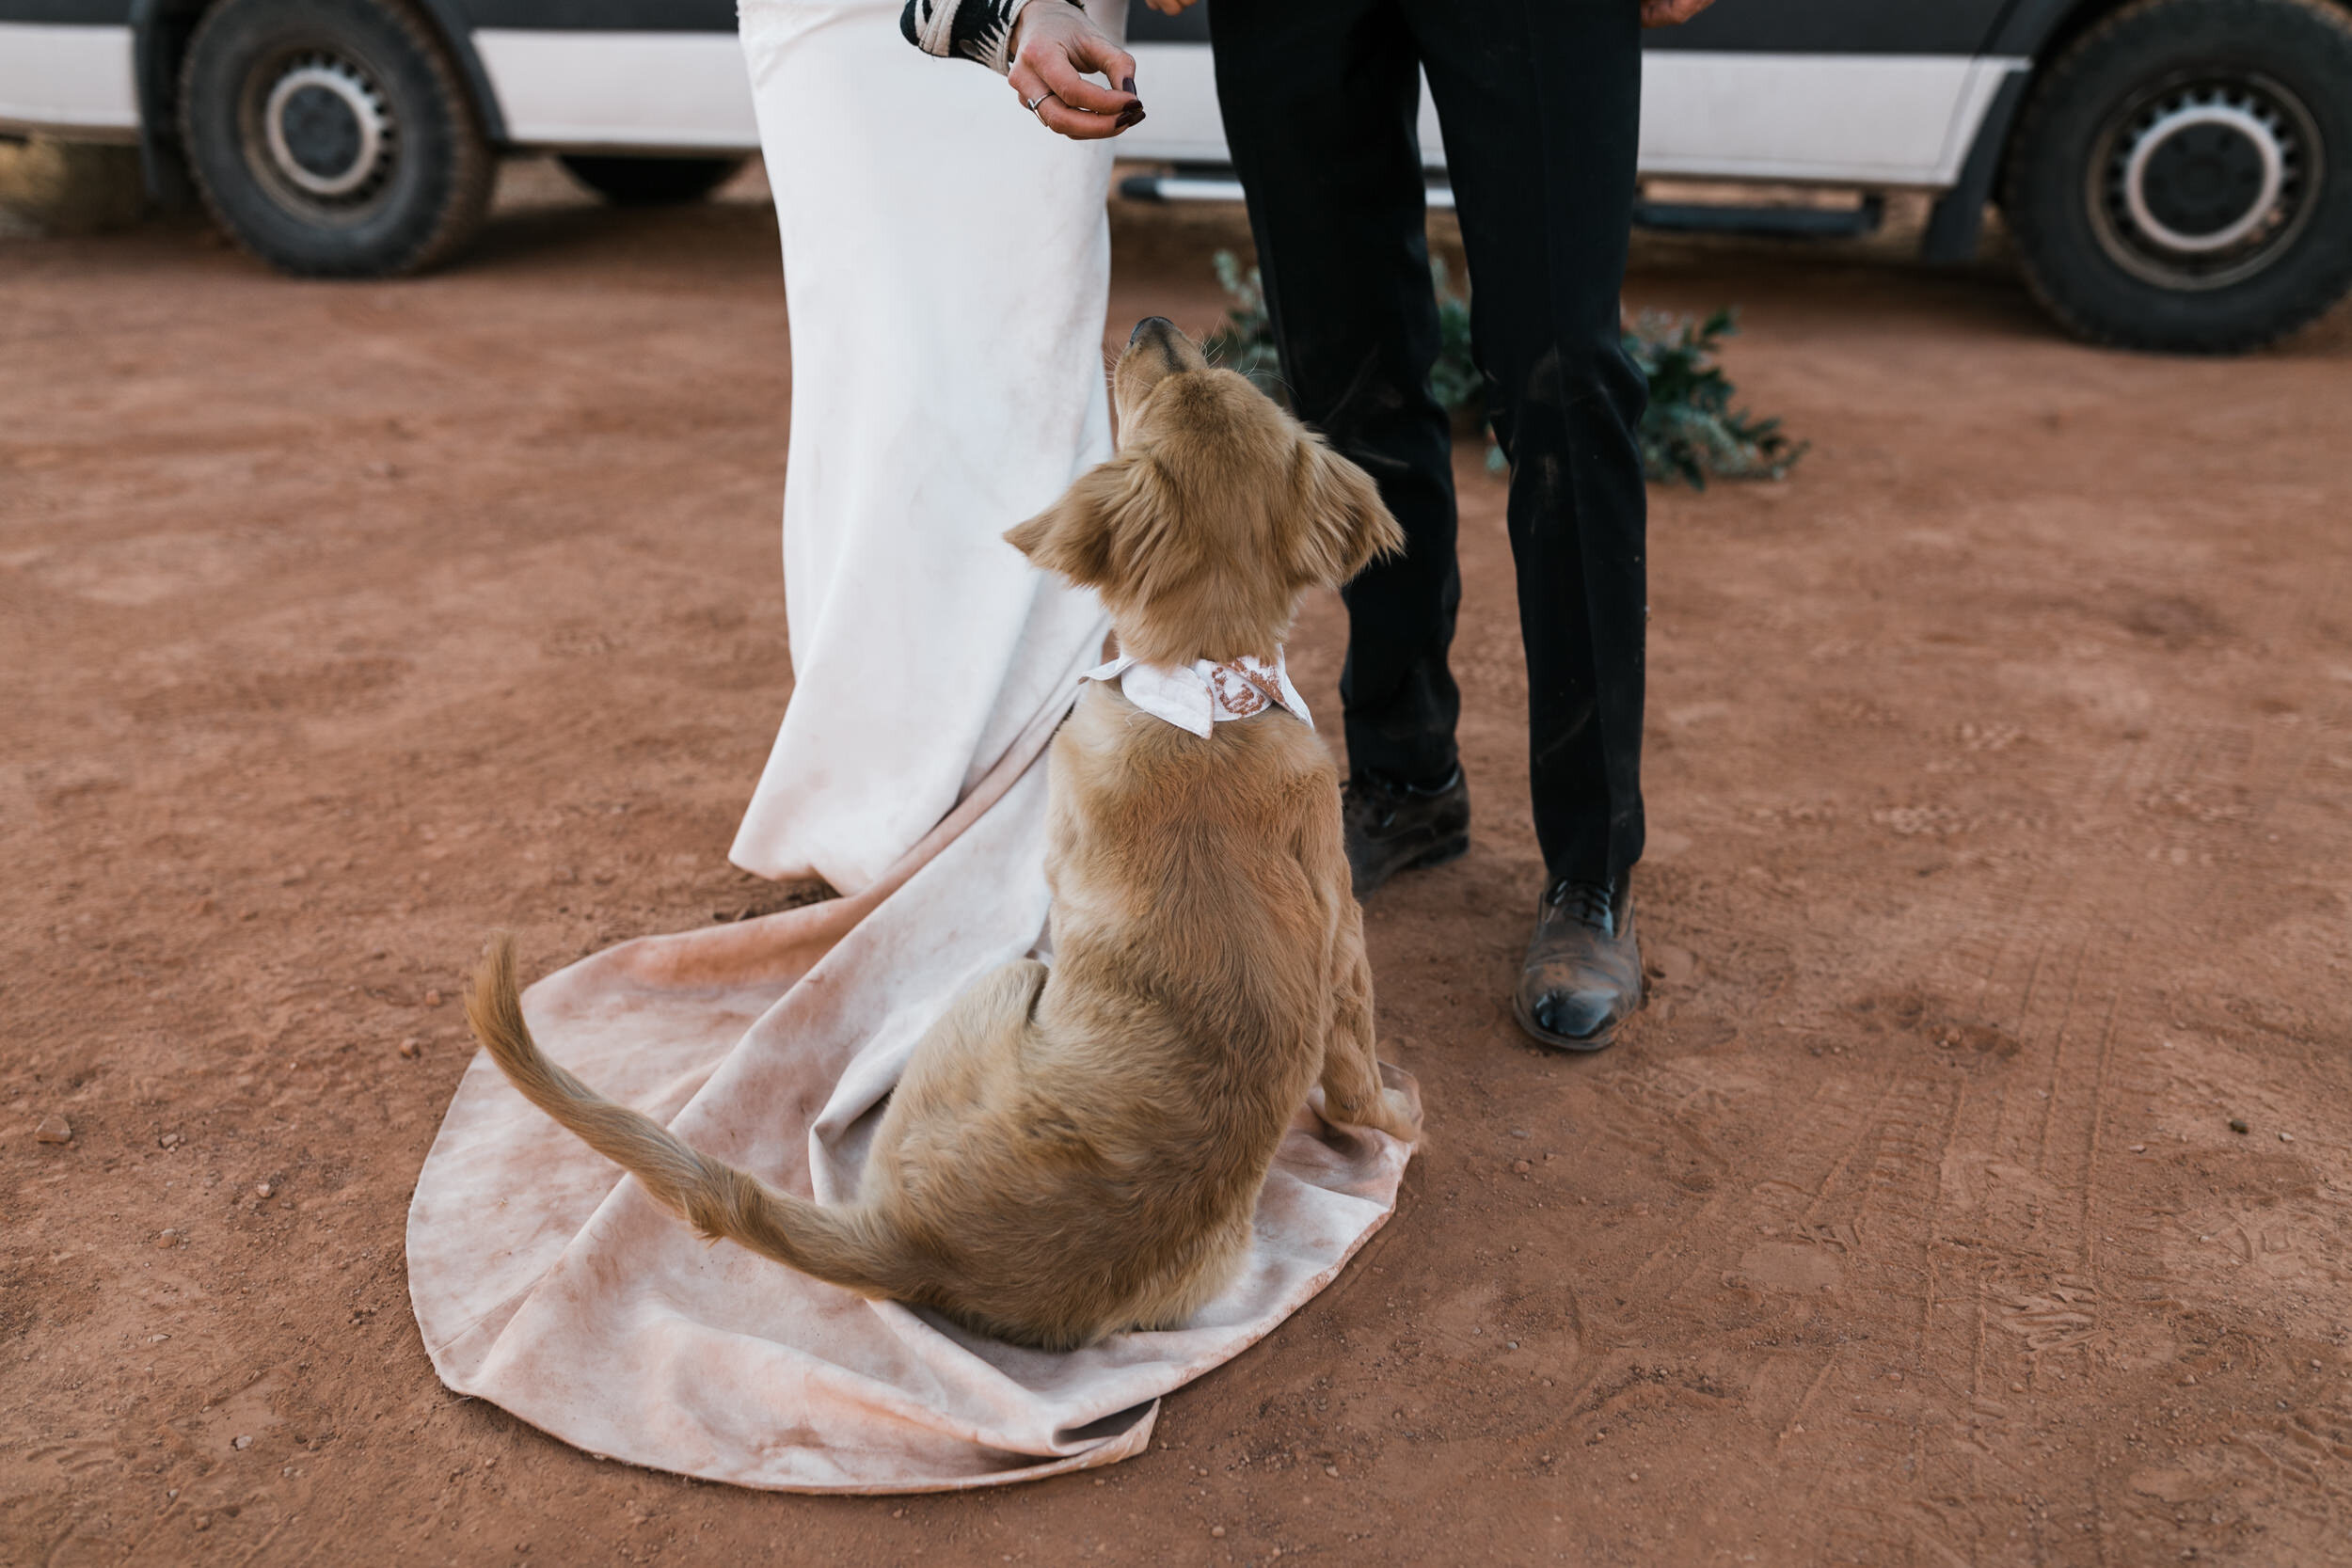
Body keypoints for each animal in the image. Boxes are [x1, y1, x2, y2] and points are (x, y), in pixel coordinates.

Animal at [466, 314, 1402, 1354]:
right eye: (1206, 376)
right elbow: (1355, 1043)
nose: (1153, 323)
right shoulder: (1342, 922)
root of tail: (909, 1247)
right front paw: (1384, 1116)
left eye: (1160, 389)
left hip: (998, 983)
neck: (1208, 694)